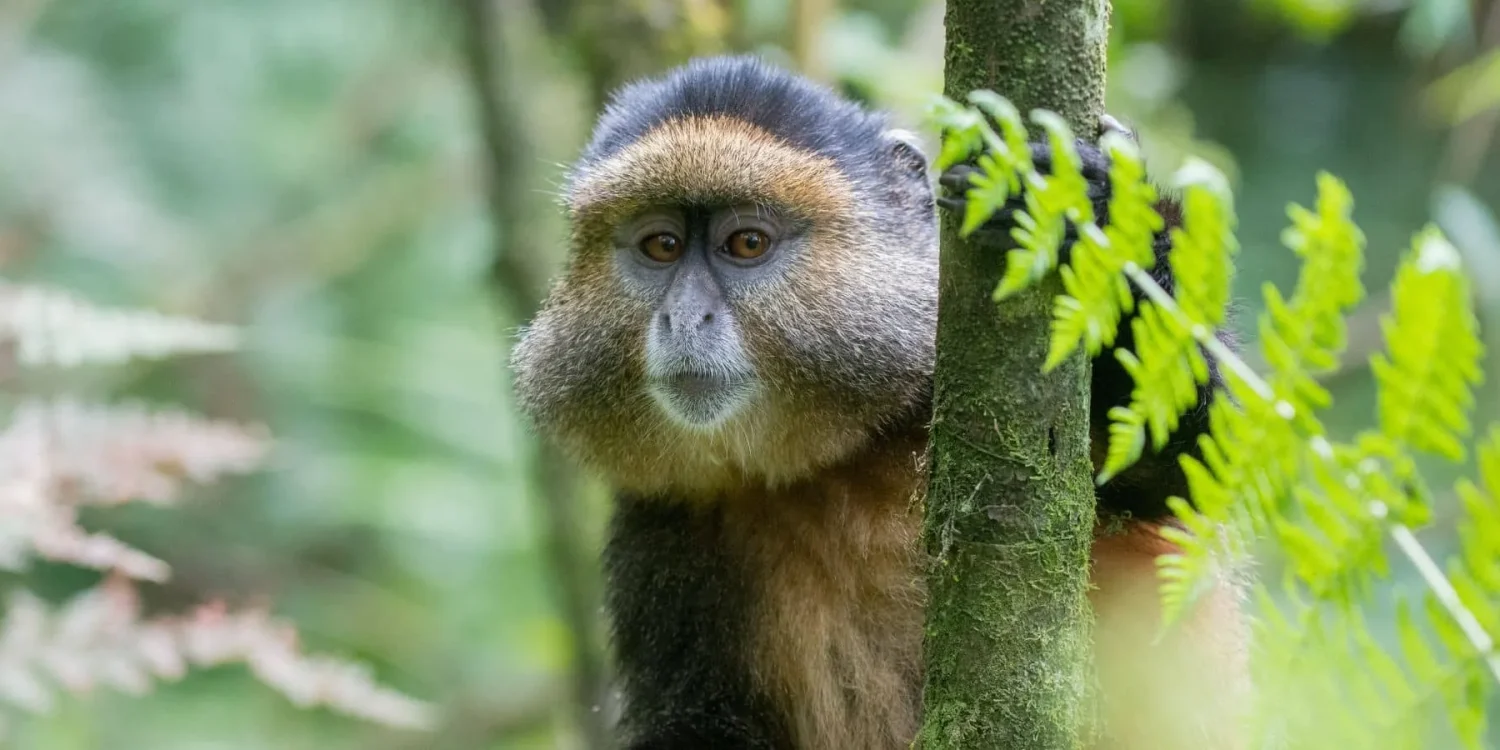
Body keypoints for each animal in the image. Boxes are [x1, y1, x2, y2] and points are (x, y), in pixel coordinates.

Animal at [510, 56, 1249, 750]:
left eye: (746, 243)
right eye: (661, 246)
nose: (684, 318)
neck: (844, 456)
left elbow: (1189, 470)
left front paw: (1095, 215)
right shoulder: (660, 527)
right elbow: (700, 719)